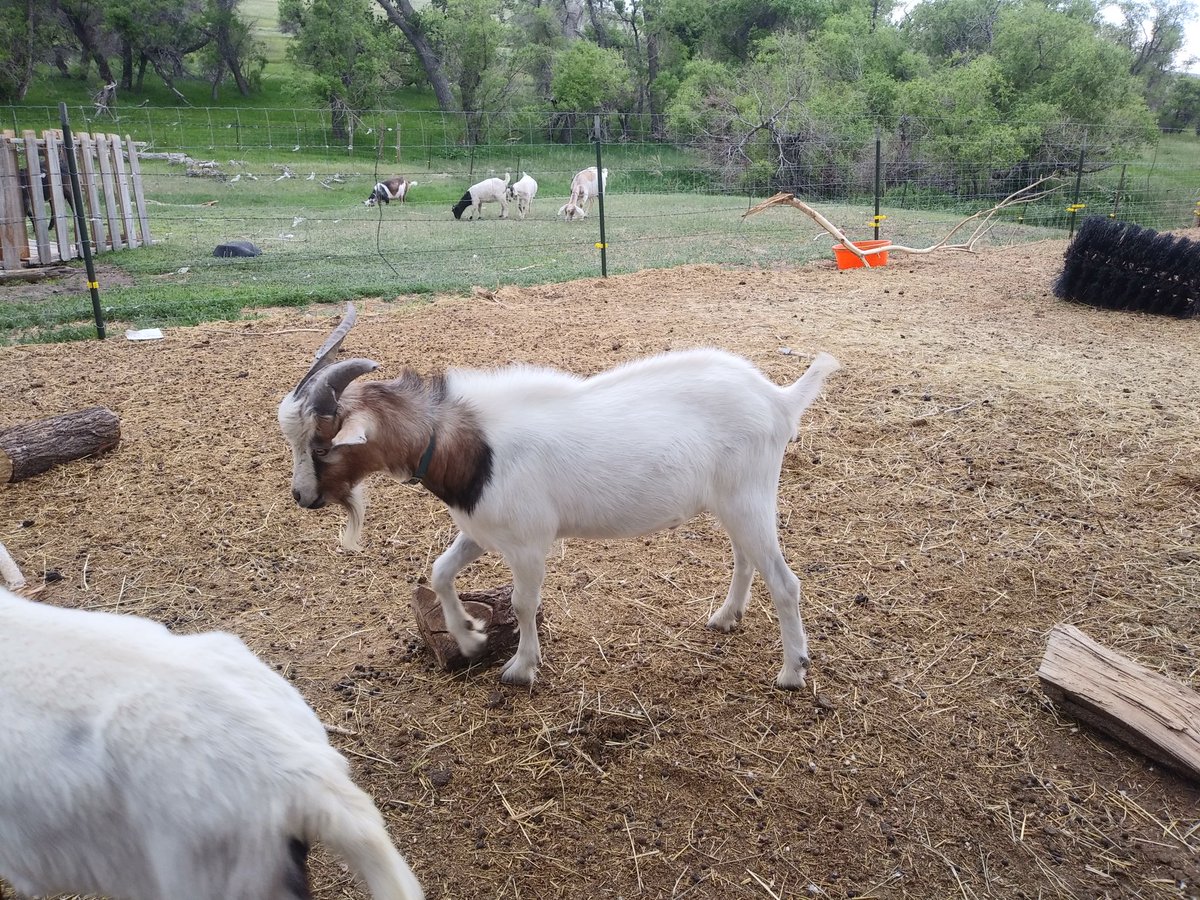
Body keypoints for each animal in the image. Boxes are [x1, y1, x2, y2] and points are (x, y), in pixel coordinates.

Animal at [278, 304, 840, 690]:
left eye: (321, 446)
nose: (302, 496)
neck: (470, 447)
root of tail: (778, 399)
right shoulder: (481, 529)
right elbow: (439, 572)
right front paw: (469, 635)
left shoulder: (528, 542)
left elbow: (525, 603)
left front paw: (520, 667)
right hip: (732, 501)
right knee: (745, 558)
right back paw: (726, 617)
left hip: (750, 496)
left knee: (785, 582)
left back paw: (793, 671)